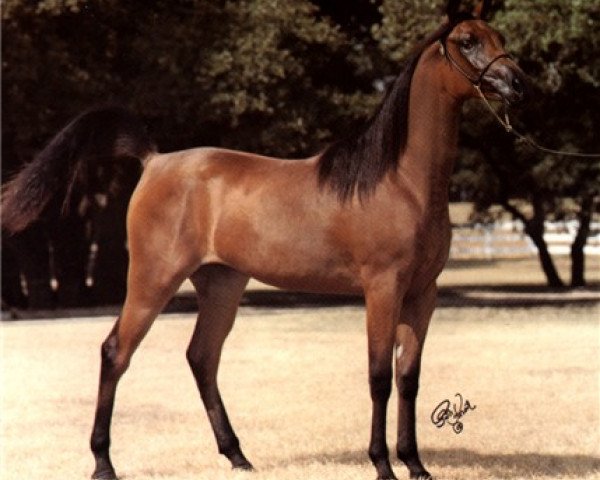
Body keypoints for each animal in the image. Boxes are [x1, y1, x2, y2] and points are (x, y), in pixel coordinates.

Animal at [0, 1, 528, 478]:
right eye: (467, 41)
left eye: (498, 36)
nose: (517, 83)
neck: (400, 181)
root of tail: (154, 160)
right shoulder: (383, 289)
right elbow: (379, 376)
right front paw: (382, 465)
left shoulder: (423, 294)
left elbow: (408, 378)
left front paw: (415, 465)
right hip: (152, 280)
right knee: (116, 352)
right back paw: (104, 463)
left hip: (222, 284)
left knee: (202, 358)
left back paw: (237, 456)